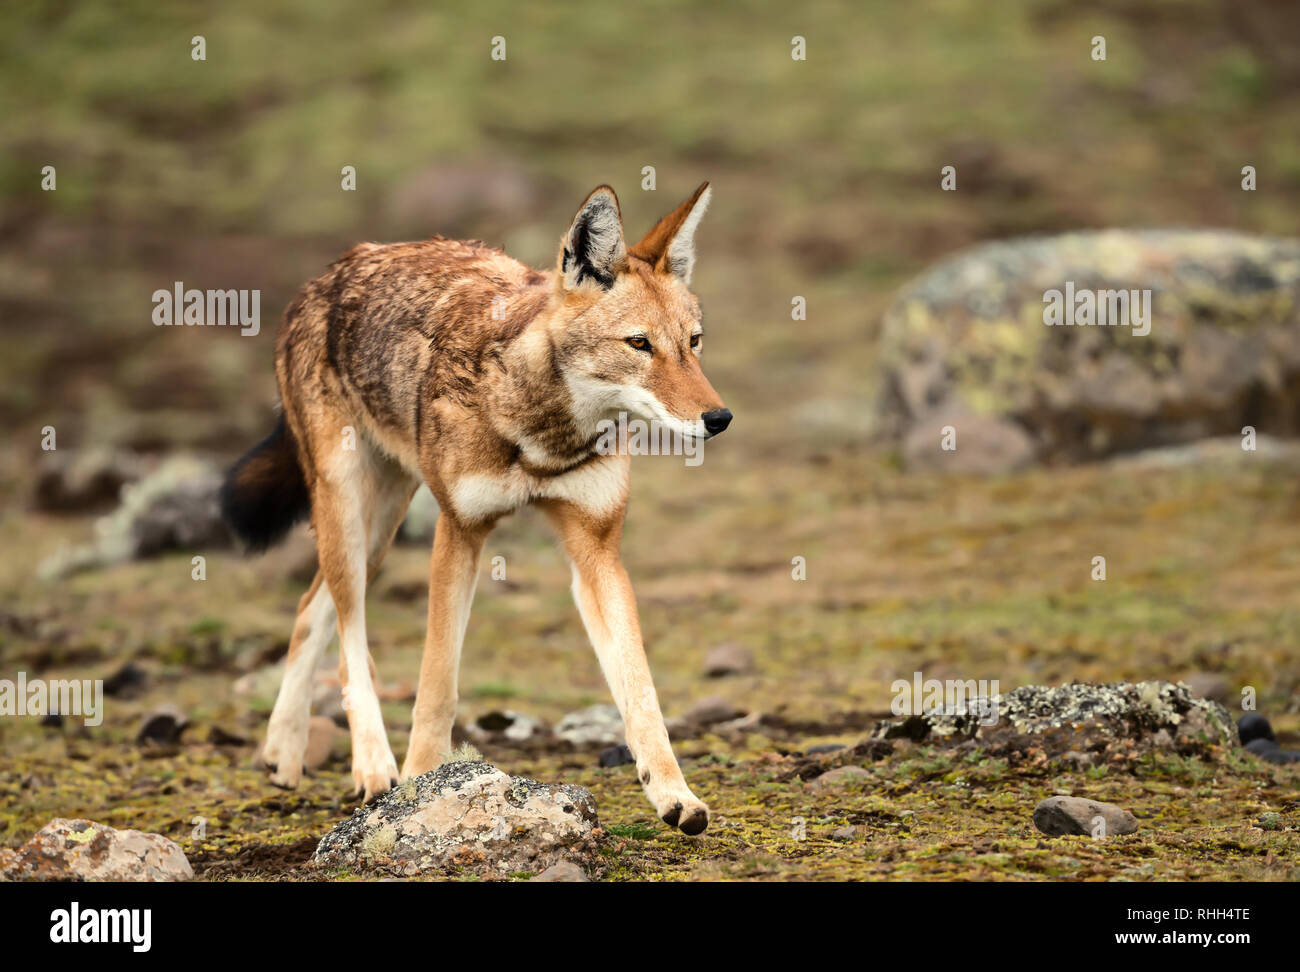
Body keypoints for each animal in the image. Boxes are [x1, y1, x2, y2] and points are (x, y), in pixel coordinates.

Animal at [220, 183, 730, 835]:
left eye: (693, 343)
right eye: (639, 343)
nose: (719, 418)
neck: (542, 433)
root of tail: (330, 271)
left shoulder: (597, 551)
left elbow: (641, 691)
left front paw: (673, 794)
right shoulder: (459, 530)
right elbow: (437, 685)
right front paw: (418, 787)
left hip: (381, 524)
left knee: (312, 608)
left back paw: (282, 754)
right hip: (349, 514)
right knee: (349, 634)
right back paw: (373, 767)